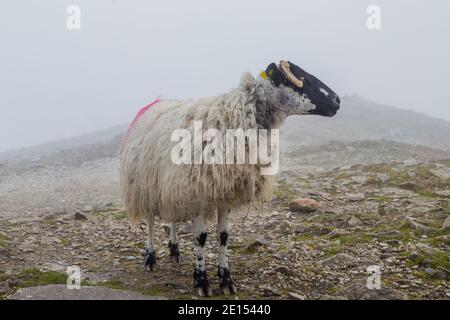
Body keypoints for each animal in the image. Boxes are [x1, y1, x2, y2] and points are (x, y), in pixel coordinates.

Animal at [119, 60, 342, 298]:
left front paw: (226, 280)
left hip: (172, 186)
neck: (234, 117)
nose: (338, 101)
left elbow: (223, 235)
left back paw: (174, 250)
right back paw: (150, 258)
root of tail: (154, 104)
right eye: (302, 78)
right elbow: (201, 237)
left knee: (173, 218)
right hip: (144, 185)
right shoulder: (199, 190)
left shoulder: (224, 191)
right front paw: (201, 281)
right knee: (151, 222)